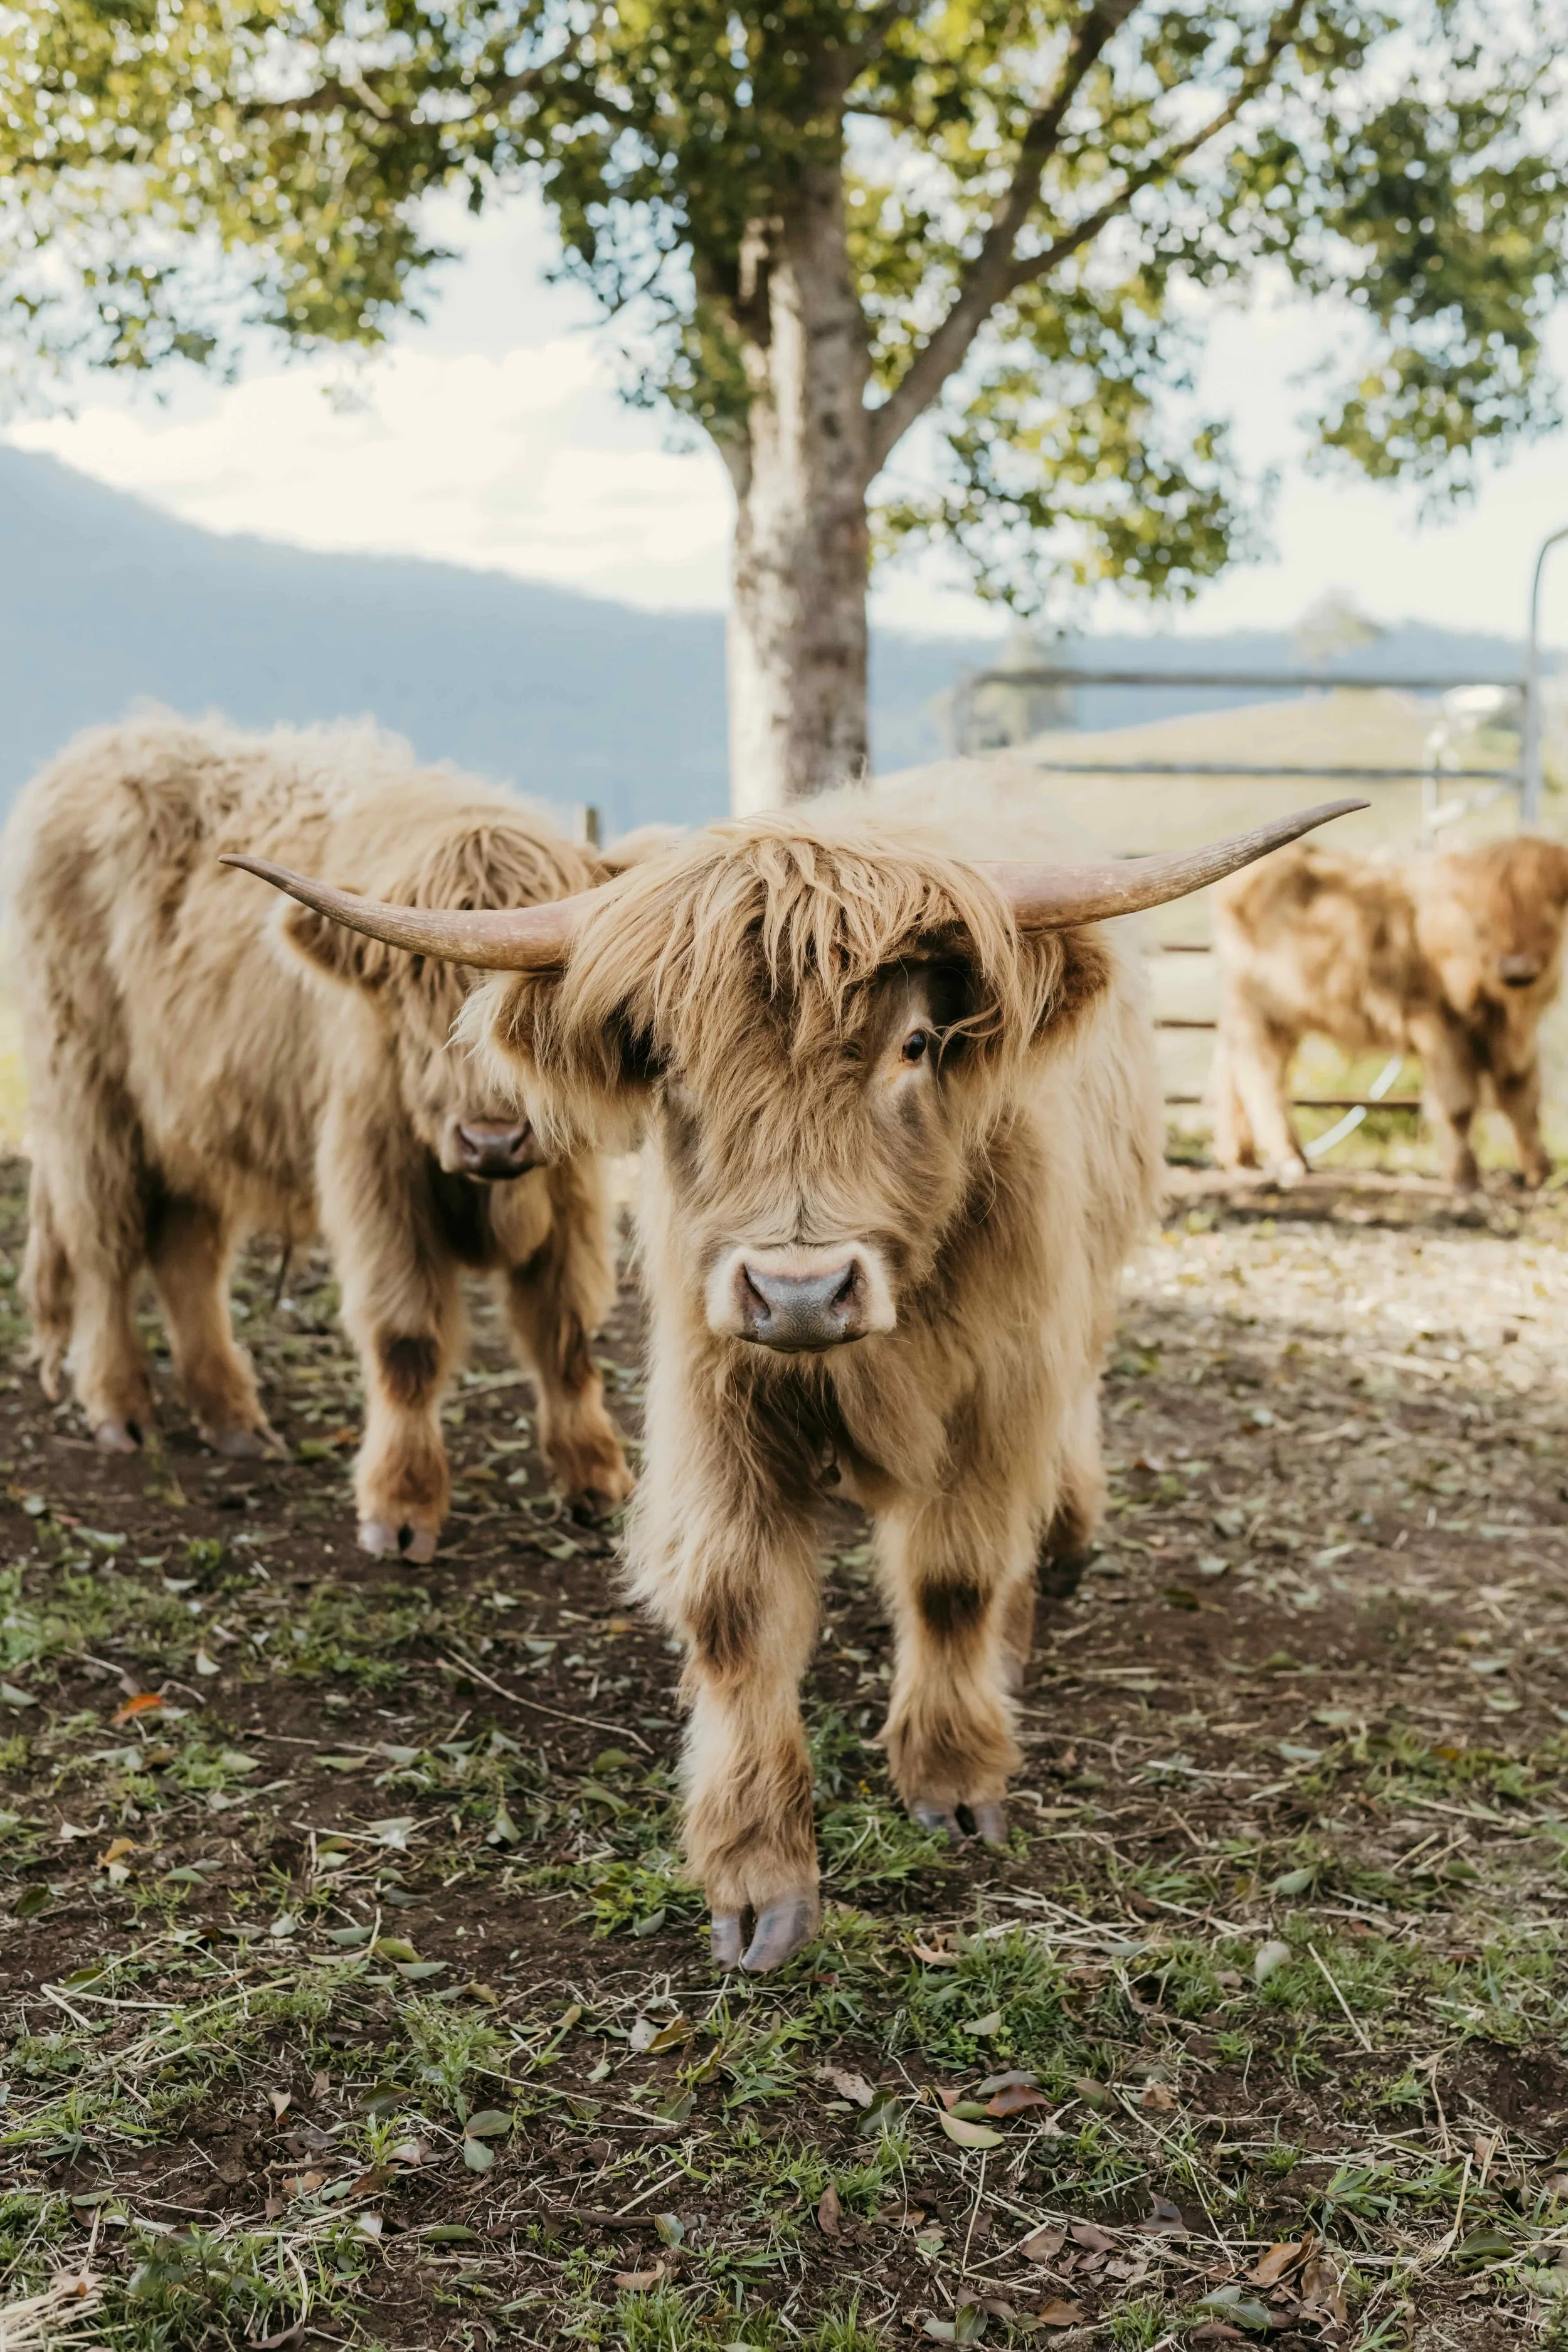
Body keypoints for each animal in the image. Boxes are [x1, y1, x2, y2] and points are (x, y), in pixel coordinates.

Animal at [8, 712, 633, 1558]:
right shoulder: (376, 1180)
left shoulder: (569, 1189)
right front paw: (400, 1510)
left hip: (192, 1121)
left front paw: (596, 1481)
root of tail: (107, 745)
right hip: (89, 1098)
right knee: (104, 1245)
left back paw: (232, 1419)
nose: (494, 1140)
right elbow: (407, 1339)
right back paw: (120, 1410)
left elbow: (564, 1333)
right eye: (414, 988)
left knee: (185, 1257)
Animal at [226, 790, 1357, 1970]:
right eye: (673, 1064)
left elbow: (954, 1578)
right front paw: (757, 1875)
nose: (801, 1291)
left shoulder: (998, 1383)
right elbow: (737, 1608)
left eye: (915, 1044)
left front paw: (954, 1774)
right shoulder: (719, 1393)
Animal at [1212, 834, 1568, 1189]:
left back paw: (1240, 1156)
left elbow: (1523, 1099)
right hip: (1259, 1015)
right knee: (1261, 1080)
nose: (1517, 971)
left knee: (1231, 1075)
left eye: (1549, 916)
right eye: (1481, 924)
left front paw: (1541, 1171)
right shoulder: (1440, 1030)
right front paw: (1464, 1176)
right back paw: (1289, 1160)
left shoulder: (1517, 1040)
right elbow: (1459, 1106)